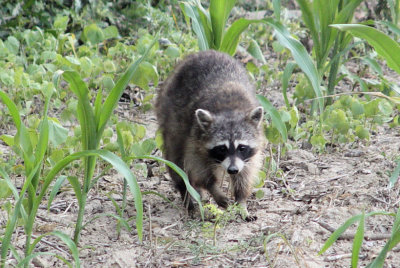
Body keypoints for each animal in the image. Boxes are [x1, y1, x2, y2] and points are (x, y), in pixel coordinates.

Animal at [156, 50, 266, 220]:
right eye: (222, 148)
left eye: (241, 147)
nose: (232, 170)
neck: (230, 110)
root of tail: (202, 52)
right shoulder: (195, 137)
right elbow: (198, 167)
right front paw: (213, 187)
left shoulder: (250, 151)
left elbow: (245, 173)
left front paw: (241, 200)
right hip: (171, 113)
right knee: (177, 157)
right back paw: (186, 194)